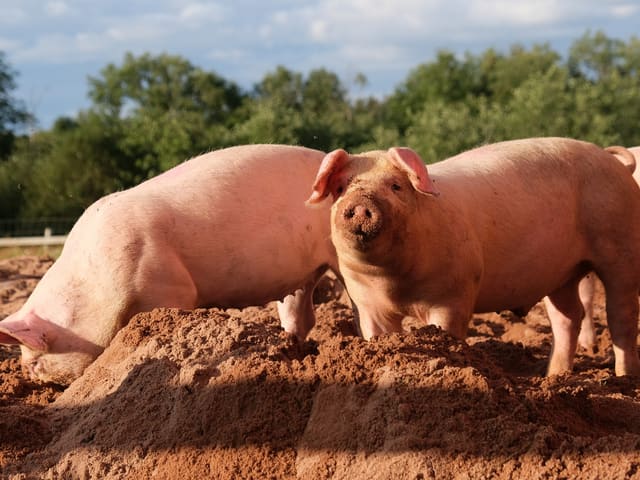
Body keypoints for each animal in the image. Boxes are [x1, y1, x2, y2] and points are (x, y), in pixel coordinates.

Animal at [0, 144, 339, 385]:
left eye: (35, 361)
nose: (31, 376)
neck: (91, 285)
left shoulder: (169, 288)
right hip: (302, 275)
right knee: (302, 315)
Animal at [306, 138, 640, 376]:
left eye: (396, 186)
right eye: (341, 187)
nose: (360, 203)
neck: (394, 283)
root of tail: (614, 162)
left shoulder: (454, 293)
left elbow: (447, 333)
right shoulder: (366, 302)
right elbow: (378, 334)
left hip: (621, 244)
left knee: (621, 315)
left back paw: (624, 378)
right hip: (561, 273)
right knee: (568, 316)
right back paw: (554, 376)